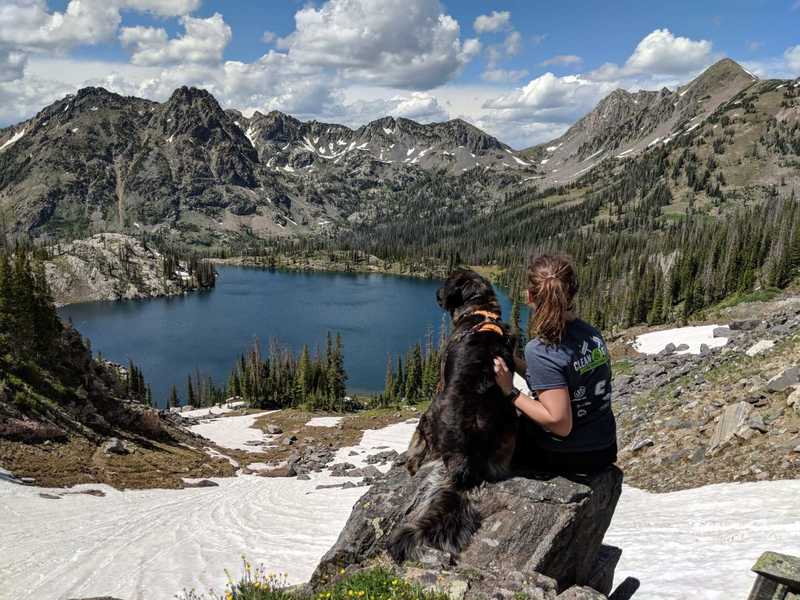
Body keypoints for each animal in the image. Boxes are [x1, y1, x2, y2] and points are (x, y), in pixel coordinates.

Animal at [388, 270, 520, 560]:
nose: (436, 294)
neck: (481, 311)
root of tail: (465, 466)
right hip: (511, 424)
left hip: (429, 414)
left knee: (418, 444)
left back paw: (412, 465)